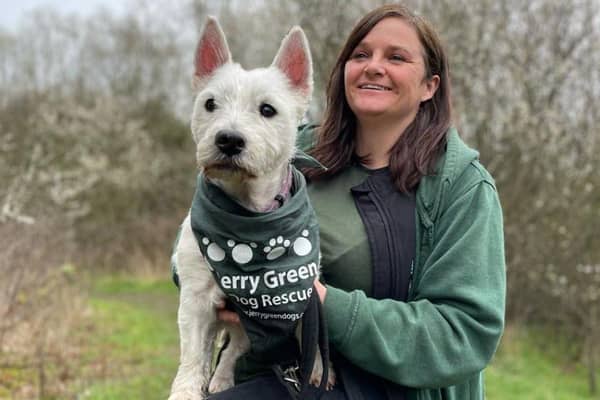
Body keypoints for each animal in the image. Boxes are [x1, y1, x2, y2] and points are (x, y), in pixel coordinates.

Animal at [169, 17, 332, 398]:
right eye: (210, 103)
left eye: (267, 109)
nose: (228, 139)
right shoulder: (195, 299)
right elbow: (192, 354)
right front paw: (185, 390)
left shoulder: (301, 294)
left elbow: (311, 336)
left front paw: (319, 369)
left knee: (239, 346)